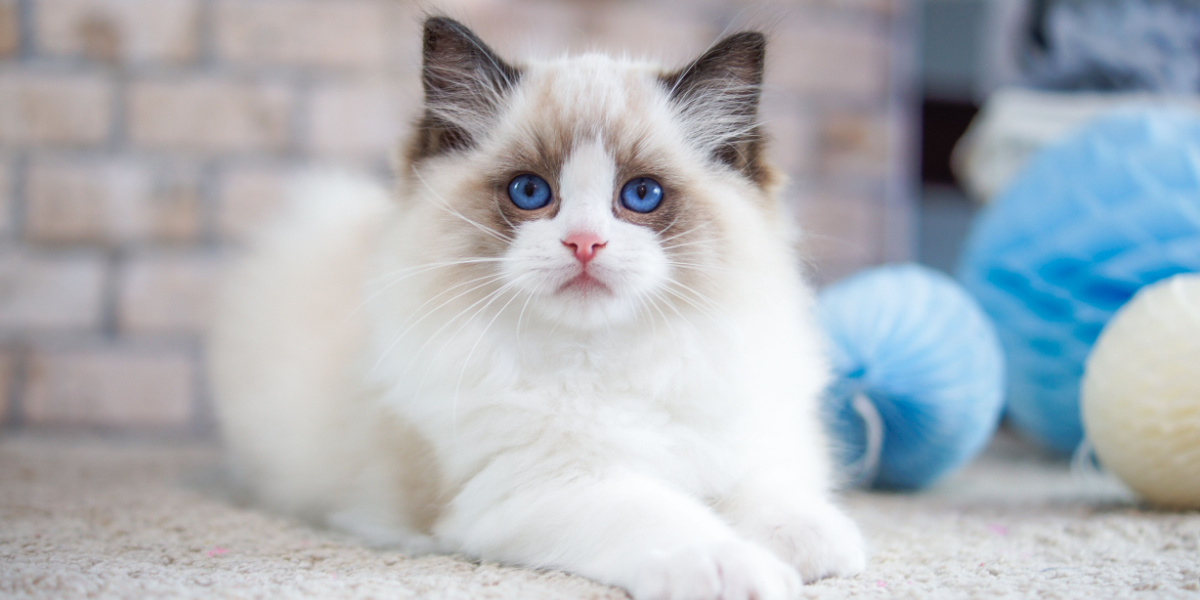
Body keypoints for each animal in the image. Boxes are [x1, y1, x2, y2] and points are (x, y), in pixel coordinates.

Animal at [213, 16, 864, 597]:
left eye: (641, 195)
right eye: (530, 192)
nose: (585, 243)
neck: (603, 361)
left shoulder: (742, 439)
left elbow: (767, 492)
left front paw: (816, 547)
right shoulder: (543, 488)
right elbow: (669, 518)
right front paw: (735, 567)